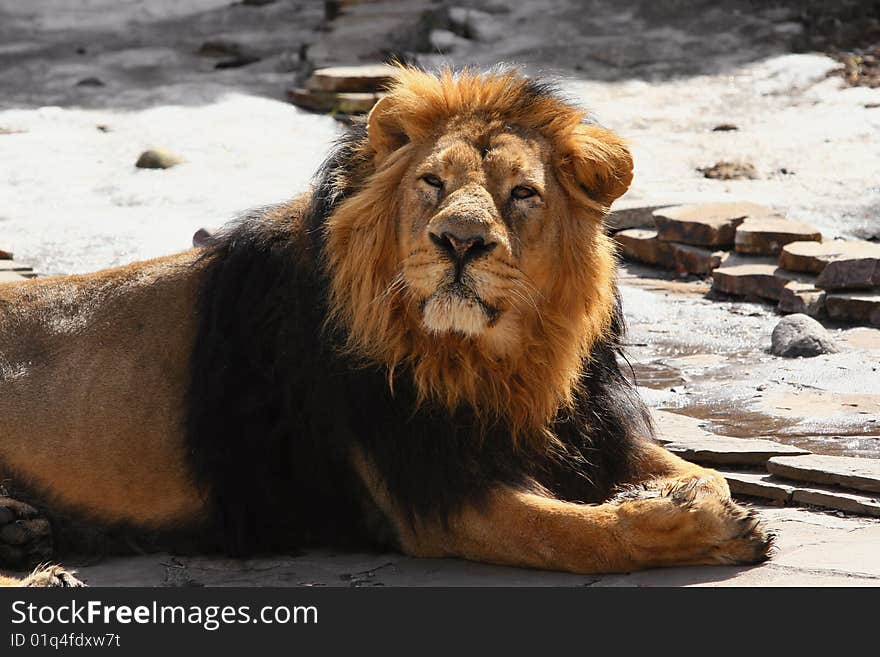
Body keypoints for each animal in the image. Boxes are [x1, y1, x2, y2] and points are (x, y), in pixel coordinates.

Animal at [0, 69, 768, 588]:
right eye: (432, 183)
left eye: (522, 193)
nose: (459, 241)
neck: (500, 361)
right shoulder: (426, 496)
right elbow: (575, 534)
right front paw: (700, 526)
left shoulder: (587, 429)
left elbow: (703, 472)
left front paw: (704, 500)